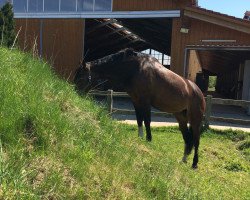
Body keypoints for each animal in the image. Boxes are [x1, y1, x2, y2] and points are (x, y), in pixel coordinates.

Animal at [73, 48, 205, 169]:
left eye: (80, 77)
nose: (74, 93)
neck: (135, 69)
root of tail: (198, 91)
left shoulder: (145, 101)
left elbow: (147, 121)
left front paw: (148, 140)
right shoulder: (135, 101)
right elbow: (139, 120)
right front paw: (140, 139)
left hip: (195, 119)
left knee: (196, 139)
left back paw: (194, 163)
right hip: (180, 117)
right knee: (187, 138)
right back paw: (183, 159)